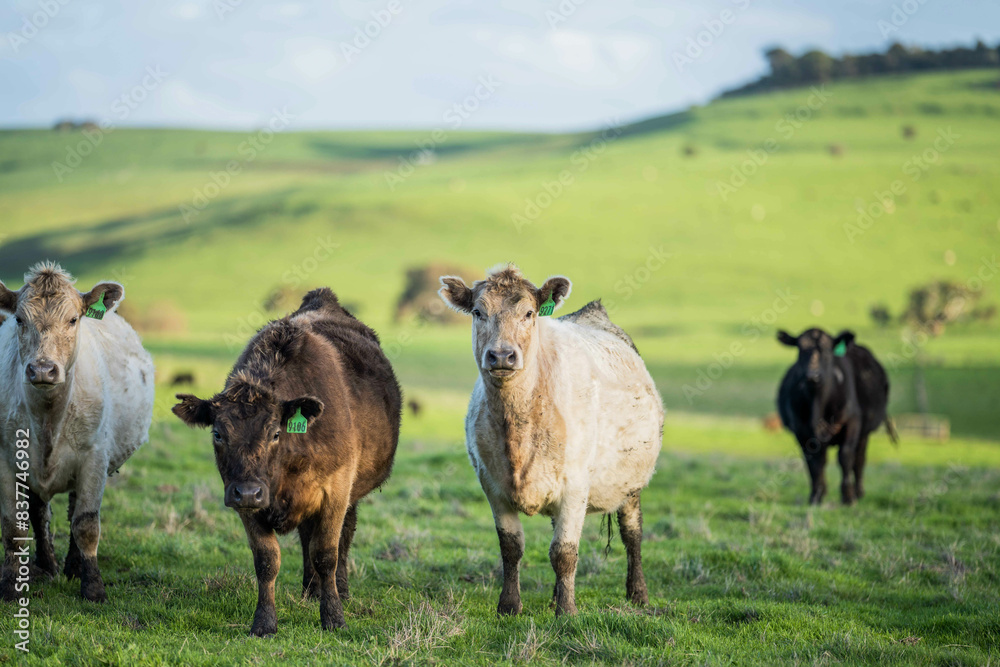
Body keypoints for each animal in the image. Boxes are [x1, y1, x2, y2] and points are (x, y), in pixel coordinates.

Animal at [0, 262, 154, 602]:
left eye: (73, 319)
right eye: (19, 319)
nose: (42, 370)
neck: (48, 419)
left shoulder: (94, 458)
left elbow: (85, 524)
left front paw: (93, 587)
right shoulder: (5, 460)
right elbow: (14, 527)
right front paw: (10, 586)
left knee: (73, 511)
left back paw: (72, 567)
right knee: (39, 512)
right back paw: (47, 565)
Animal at [172, 288, 401, 636]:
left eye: (276, 433)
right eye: (217, 434)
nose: (248, 492)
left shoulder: (336, 491)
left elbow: (327, 554)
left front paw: (333, 616)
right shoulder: (248, 503)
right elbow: (267, 560)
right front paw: (264, 622)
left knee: (343, 537)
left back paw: (340, 589)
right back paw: (310, 590)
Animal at [439, 265, 665, 616]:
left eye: (529, 313)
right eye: (477, 312)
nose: (501, 355)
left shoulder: (576, 485)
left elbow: (564, 551)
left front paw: (567, 612)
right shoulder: (492, 485)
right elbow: (511, 547)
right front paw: (509, 605)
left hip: (632, 483)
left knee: (632, 533)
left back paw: (637, 593)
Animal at [776, 328, 897, 506]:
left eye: (827, 350)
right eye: (800, 349)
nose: (813, 376)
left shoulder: (852, 423)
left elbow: (845, 456)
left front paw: (848, 497)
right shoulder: (801, 430)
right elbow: (814, 462)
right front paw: (816, 496)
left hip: (864, 433)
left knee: (859, 460)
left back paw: (859, 492)